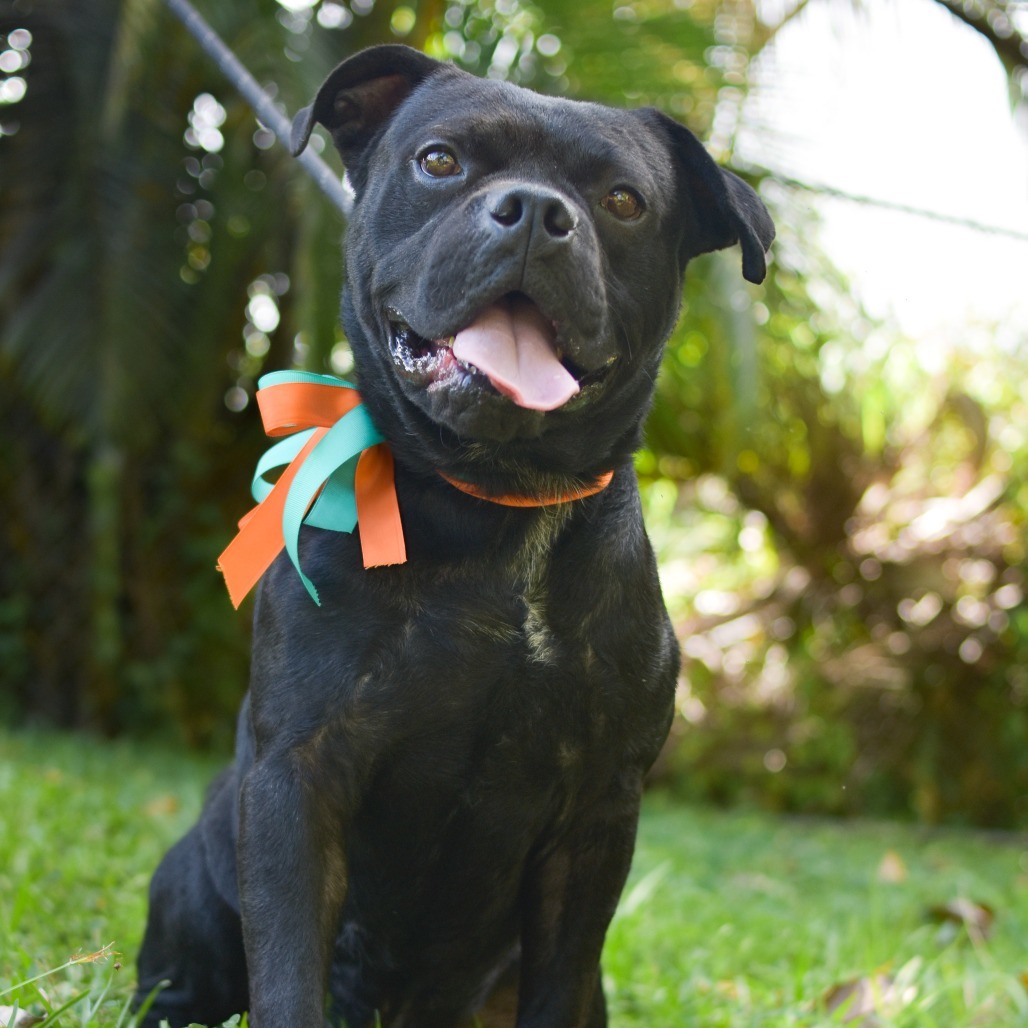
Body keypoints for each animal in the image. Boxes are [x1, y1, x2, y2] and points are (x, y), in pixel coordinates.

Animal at [134, 44, 773, 1023]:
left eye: (623, 200)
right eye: (440, 160)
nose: (538, 212)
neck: (498, 507)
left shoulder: (596, 819)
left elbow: (558, 982)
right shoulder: (297, 780)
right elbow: (287, 975)